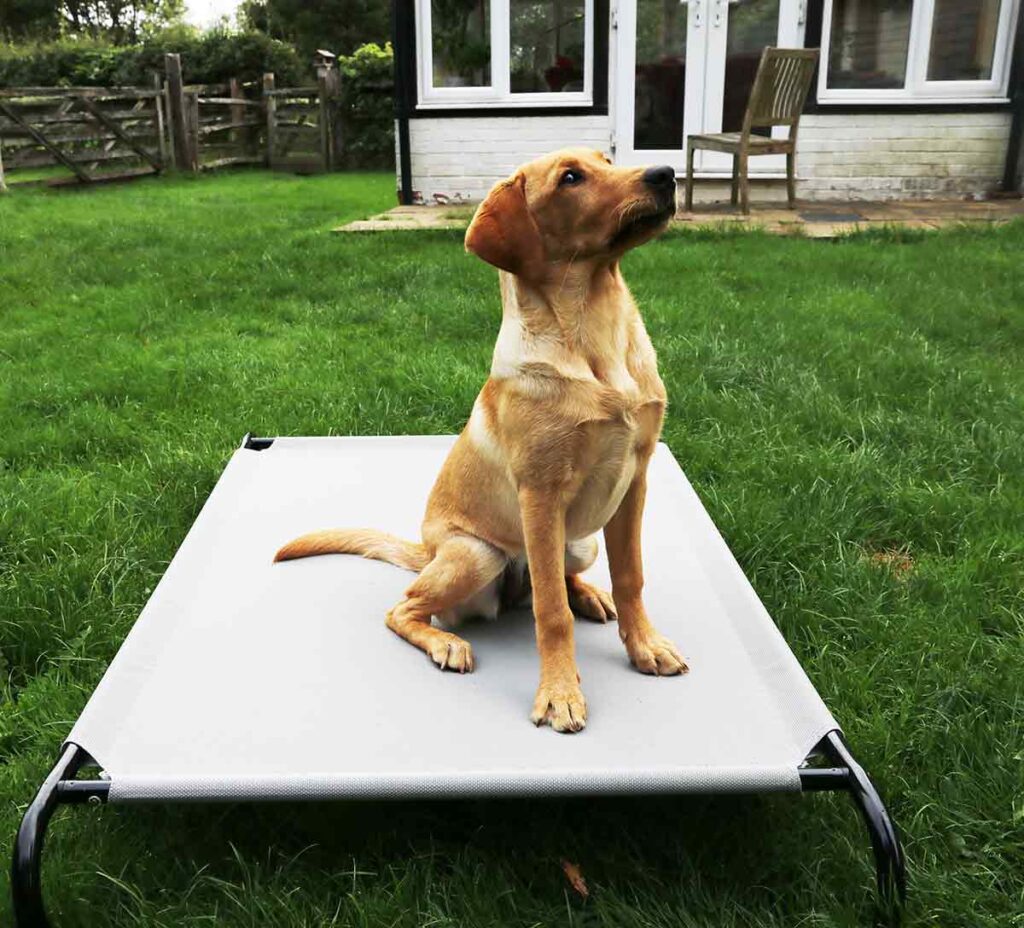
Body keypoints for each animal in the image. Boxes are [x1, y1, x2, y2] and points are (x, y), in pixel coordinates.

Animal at [276, 148, 684, 729]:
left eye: (608, 159)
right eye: (570, 178)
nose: (666, 173)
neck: (592, 335)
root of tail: (426, 550)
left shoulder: (636, 480)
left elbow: (631, 578)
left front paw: (645, 645)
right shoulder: (540, 493)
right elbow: (551, 614)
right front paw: (559, 692)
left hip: (576, 542)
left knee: (555, 582)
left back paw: (588, 594)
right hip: (476, 554)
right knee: (408, 607)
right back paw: (446, 643)